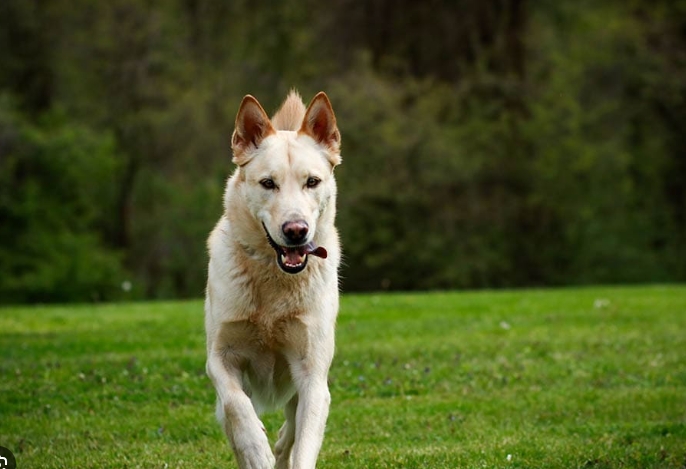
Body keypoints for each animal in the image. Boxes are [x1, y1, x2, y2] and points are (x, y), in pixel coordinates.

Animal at [204, 91, 344, 468]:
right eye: (268, 183)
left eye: (312, 182)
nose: (296, 231)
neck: (274, 279)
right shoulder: (220, 358)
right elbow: (238, 407)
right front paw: (256, 450)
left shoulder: (313, 377)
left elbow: (304, 445)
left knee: (290, 435)